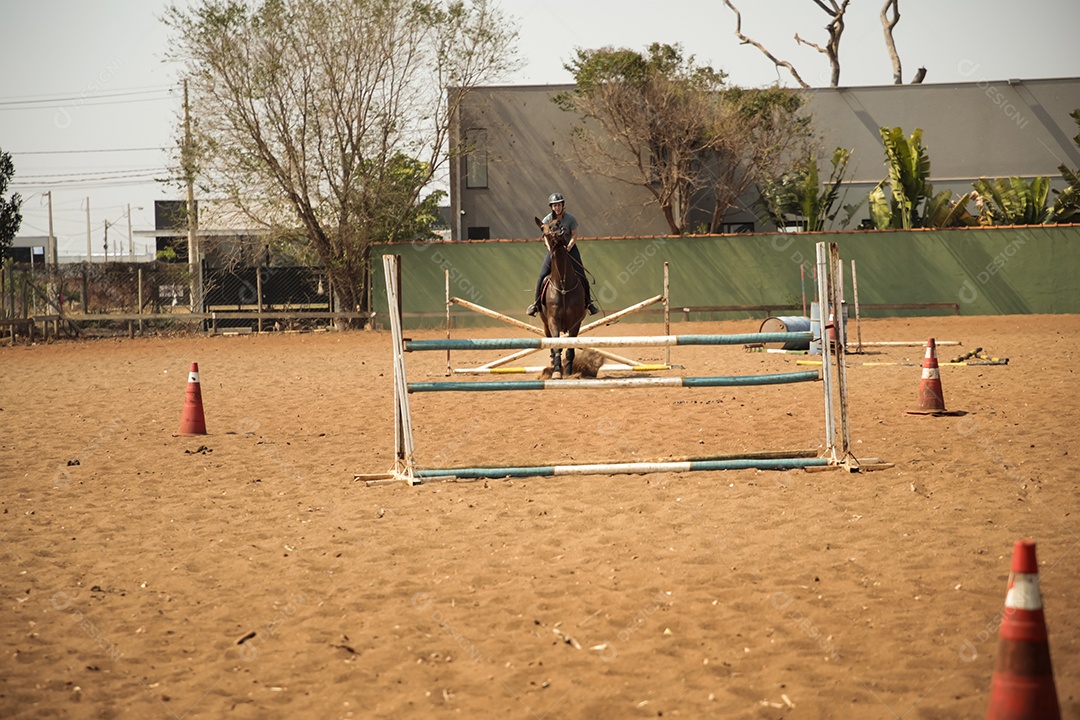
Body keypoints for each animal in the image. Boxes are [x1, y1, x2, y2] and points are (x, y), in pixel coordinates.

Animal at [533, 216, 587, 379]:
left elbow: (570, 348)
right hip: (545, 325)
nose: (559, 231)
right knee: (551, 344)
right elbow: (556, 346)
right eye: (544, 228)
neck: (563, 286)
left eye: (558, 223)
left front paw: (568, 372)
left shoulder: (575, 323)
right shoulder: (553, 321)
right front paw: (557, 372)